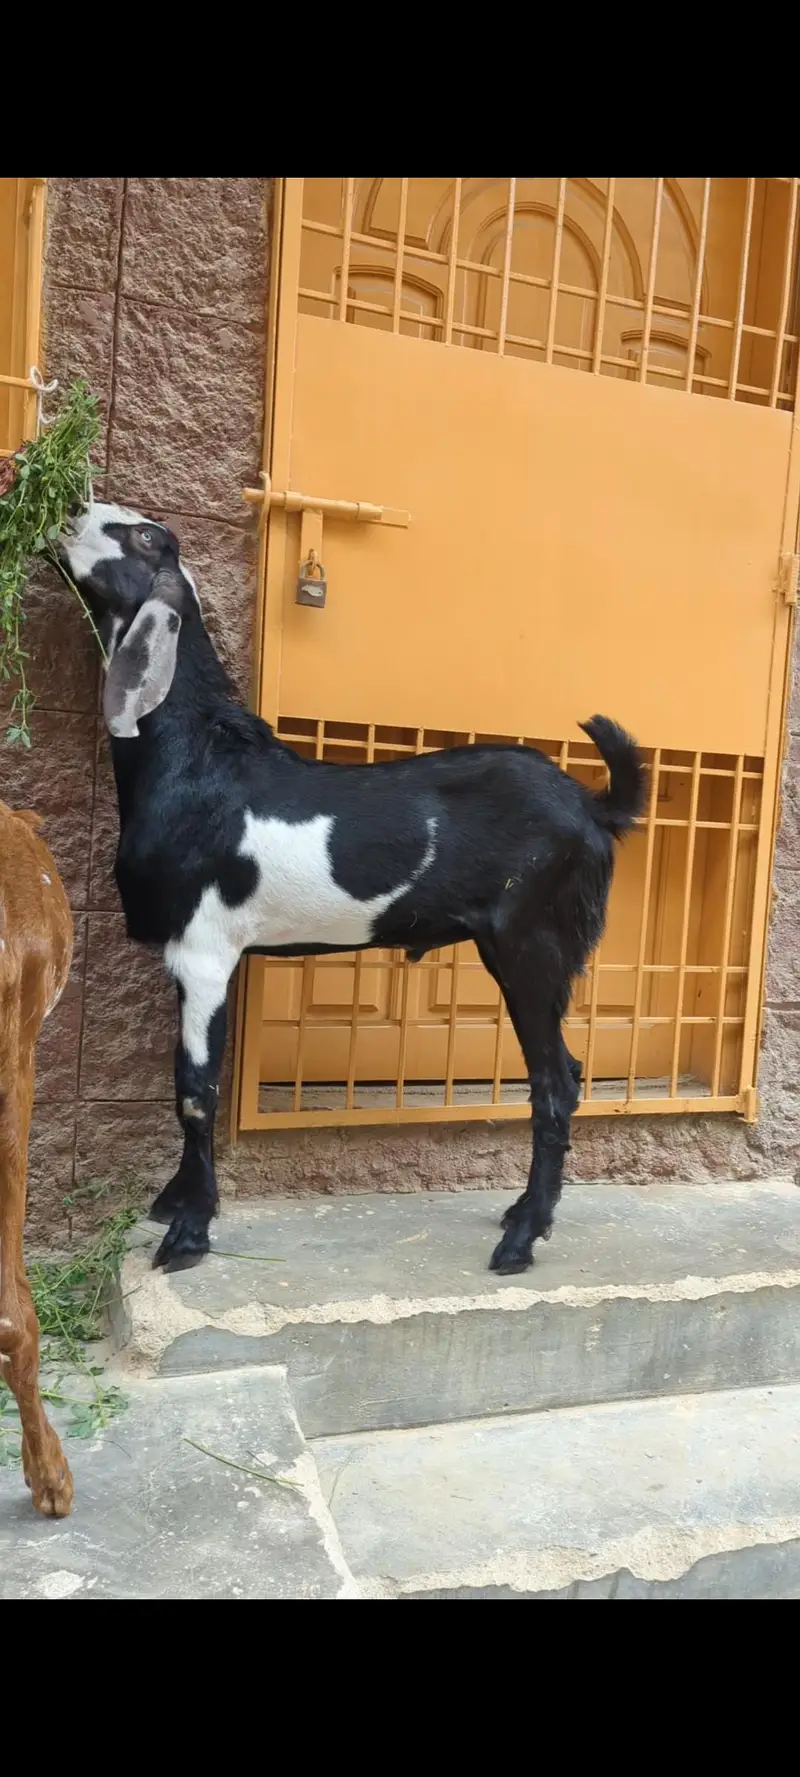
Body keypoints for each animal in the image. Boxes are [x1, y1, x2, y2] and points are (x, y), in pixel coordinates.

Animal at [58, 502, 645, 1278]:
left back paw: (520, 1240)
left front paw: (188, 1233)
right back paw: (523, 1216)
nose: (69, 513)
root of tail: (593, 805)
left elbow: (195, 1090)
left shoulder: (205, 948)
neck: (199, 760)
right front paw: (173, 1202)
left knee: (557, 1082)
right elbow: (186, 1079)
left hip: (532, 943)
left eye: (146, 536)